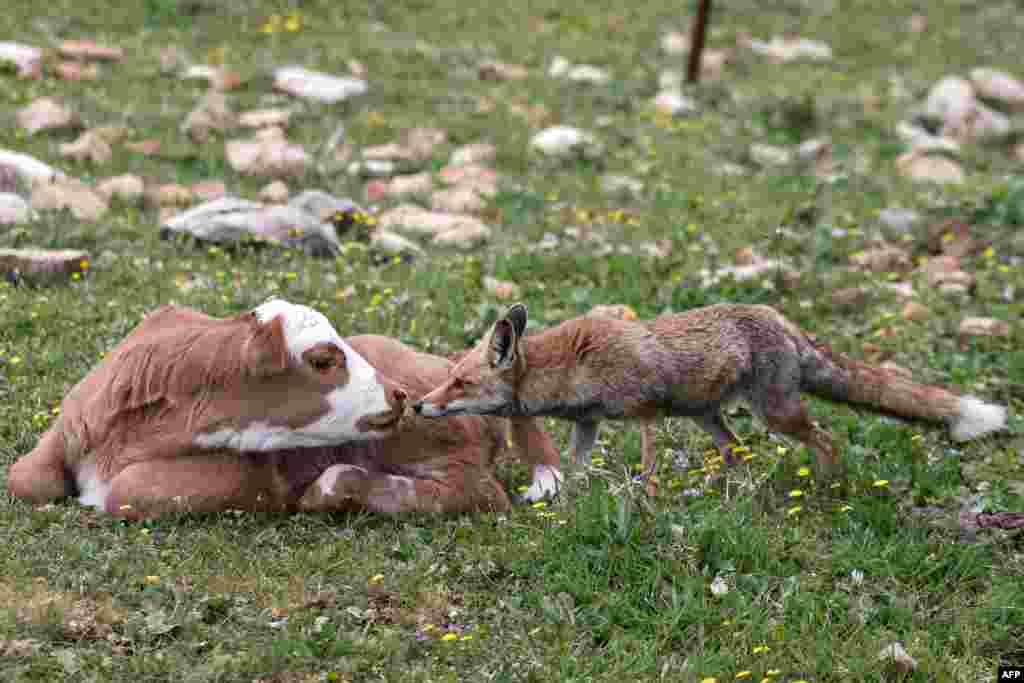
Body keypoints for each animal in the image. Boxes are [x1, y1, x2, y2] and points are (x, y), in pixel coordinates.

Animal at [415, 305, 1007, 497]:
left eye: (460, 384)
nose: (420, 406)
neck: (572, 366)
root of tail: (782, 319)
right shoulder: (589, 425)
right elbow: (576, 468)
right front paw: (565, 502)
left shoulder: (645, 413)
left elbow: (648, 467)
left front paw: (648, 503)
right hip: (709, 419)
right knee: (736, 451)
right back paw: (725, 493)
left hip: (776, 414)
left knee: (827, 438)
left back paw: (825, 487)